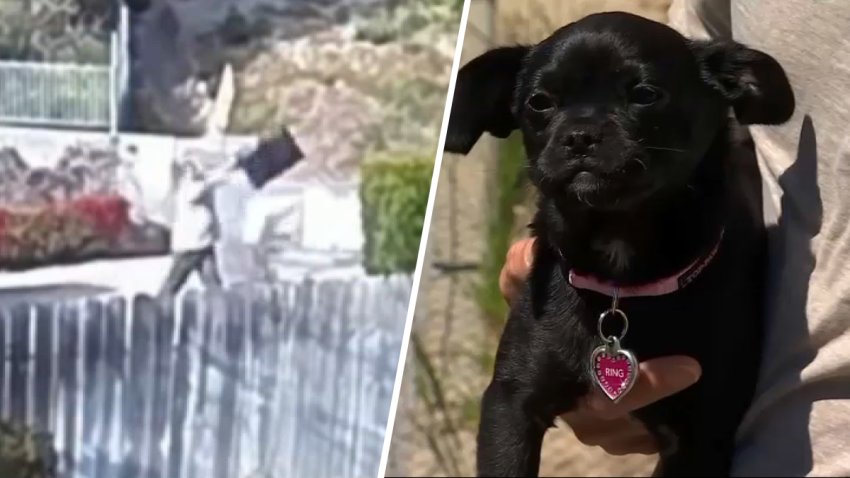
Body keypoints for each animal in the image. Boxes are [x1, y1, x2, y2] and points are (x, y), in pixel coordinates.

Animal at [448, 11, 792, 478]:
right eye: (538, 102)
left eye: (645, 94)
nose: (579, 135)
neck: (619, 277)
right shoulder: (512, 404)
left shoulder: (703, 437)